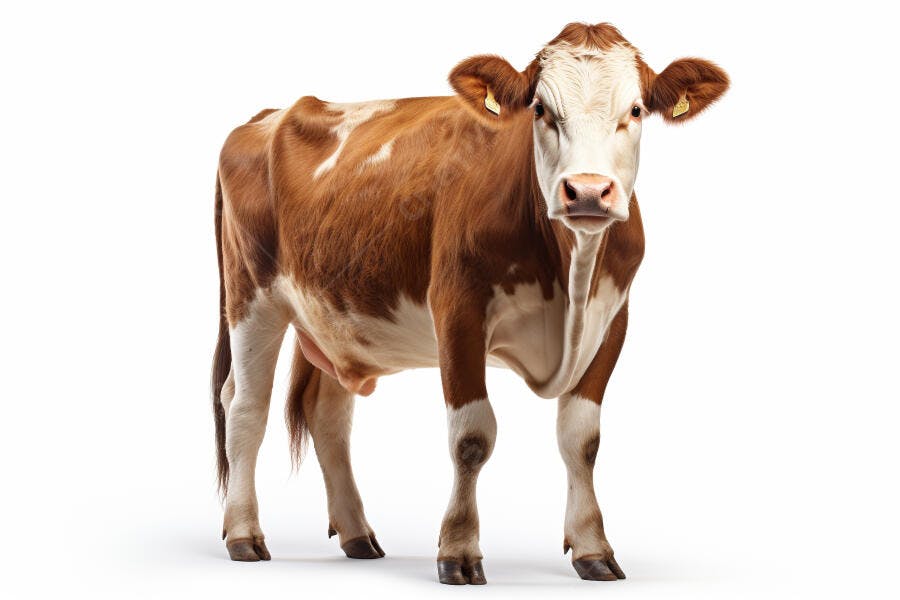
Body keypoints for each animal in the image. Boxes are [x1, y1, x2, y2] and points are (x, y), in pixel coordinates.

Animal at [211, 22, 728, 584]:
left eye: (634, 110)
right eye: (540, 109)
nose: (588, 192)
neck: (570, 271)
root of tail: (268, 115)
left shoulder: (613, 319)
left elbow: (581, 439)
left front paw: (593, 547)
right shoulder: (458, 310)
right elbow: (472, 436)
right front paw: (458, 550)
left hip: (336, 313)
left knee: (327, 413)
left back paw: (356, 533)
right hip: (251, 296)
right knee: (245, 406)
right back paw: (244, 533)